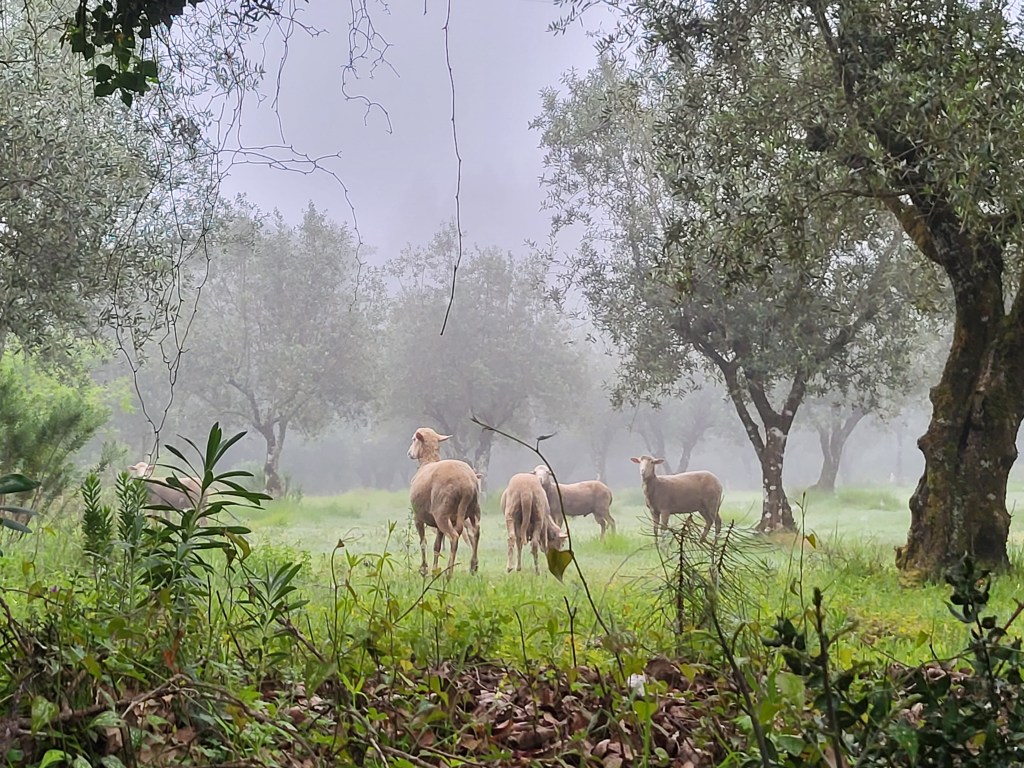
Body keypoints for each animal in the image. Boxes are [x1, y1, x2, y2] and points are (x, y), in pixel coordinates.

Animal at [407, 427, 481, 576]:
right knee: (475, 532)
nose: (409, 453)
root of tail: (466, 484)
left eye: (414, 439)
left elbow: (423, 542)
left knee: (454, 537)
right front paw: (434, 570)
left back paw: (449, 572)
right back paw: (473, 566)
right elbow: (437, 546)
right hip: (473, 509)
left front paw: (424, 569)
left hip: (442, 513)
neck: (428, 461)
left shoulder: (418, 517)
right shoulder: (436, 525)